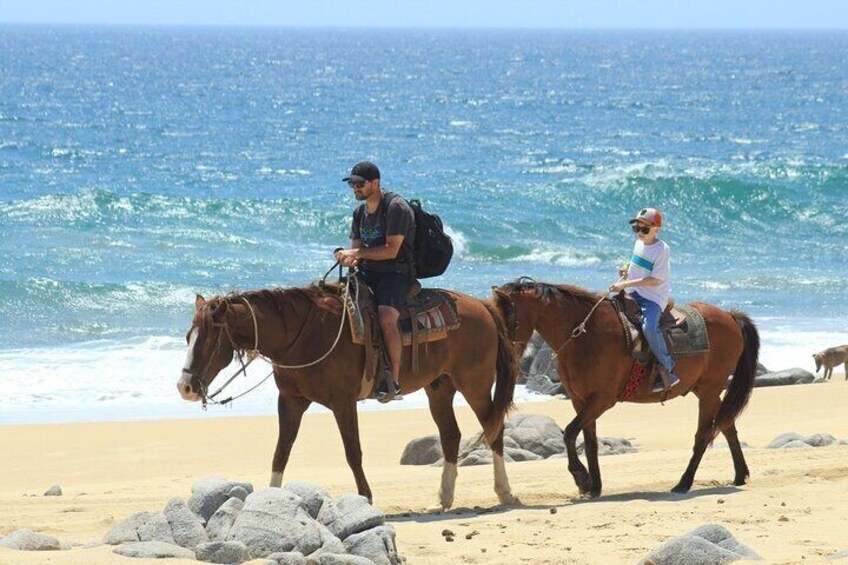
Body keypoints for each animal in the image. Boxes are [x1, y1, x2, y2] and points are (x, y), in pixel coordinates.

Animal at [176, 284, 520, 508]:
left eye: (209, 340)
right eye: (188, 336)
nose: (185, 387)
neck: (304, 335)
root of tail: (481, 306)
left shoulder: (343, 403)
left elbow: (353, 452)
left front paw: (365, 497)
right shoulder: (290, 401)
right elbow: (281, 452)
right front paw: (271, 497)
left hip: (474, 384)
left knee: (495, 430)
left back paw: (504, 492)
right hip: (440, 387)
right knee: (450, 435)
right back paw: (445, 498)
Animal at [490, 280, 760, 496]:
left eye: (507, 321)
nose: (506, 356)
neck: (586, 335)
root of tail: (729, 315)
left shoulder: (601, 400)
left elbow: (569, 433)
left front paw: (581, 478)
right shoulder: (581, 401)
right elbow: (589, 441)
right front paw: (594, 485)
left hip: (708, 391)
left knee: (704, 434)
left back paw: (684, 483)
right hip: (706, 392)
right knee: (727, 425)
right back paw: (739, 474)